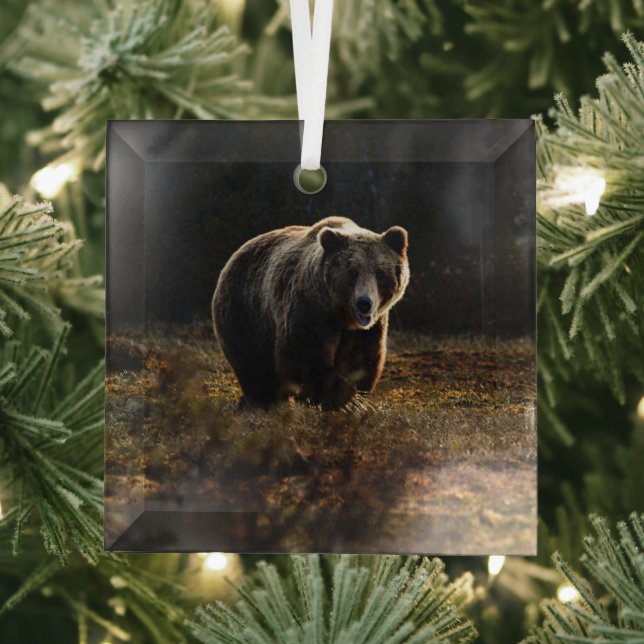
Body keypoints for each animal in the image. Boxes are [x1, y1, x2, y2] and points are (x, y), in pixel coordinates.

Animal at [212, 216, 410, 410]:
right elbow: (305, 356)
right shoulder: (310, 311)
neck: (341, 315)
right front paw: (332, 395)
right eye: (353, 272)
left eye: (380, 273)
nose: (364, 303)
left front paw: (351, 396)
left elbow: (361, 358)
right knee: (253, 365)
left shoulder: (368, 329)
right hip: (245, 314)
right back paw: (263, 401)